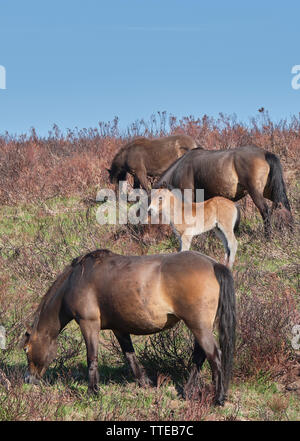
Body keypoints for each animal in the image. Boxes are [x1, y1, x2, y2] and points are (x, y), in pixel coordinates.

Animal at [22, 248, 236, 406]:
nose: (28, 380)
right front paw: (144, 383)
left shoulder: (88, 323)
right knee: (199, 357)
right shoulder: (120, 329)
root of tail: (214, 264)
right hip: (200, 327)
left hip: (198, 326)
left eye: (26, 350)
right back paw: (188, 391)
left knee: (214, 356)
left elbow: (92, 358)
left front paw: (93, 391)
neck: (76, 280)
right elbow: (130, 356)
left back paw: (218, 398)